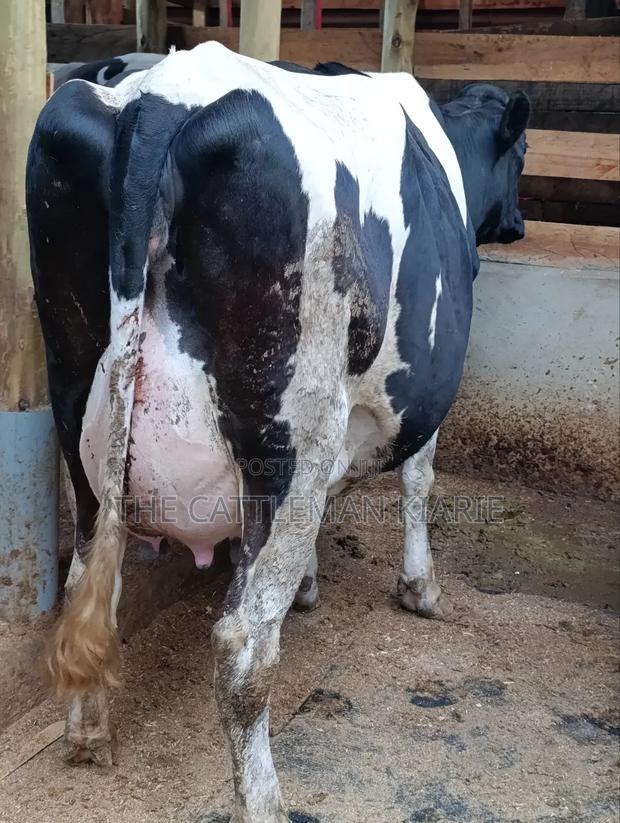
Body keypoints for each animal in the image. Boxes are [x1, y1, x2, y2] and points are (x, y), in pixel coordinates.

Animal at [27, 43, 529, 823]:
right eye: (525, 156)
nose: (522, 223)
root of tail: (164, 94)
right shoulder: (416, 398)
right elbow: (419, 481)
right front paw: (420, 589)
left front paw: (311, 582)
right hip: (289, 436)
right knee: (241, 642)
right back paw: (263, 799)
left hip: (75, 399)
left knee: (87, 582)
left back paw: (87, 735)